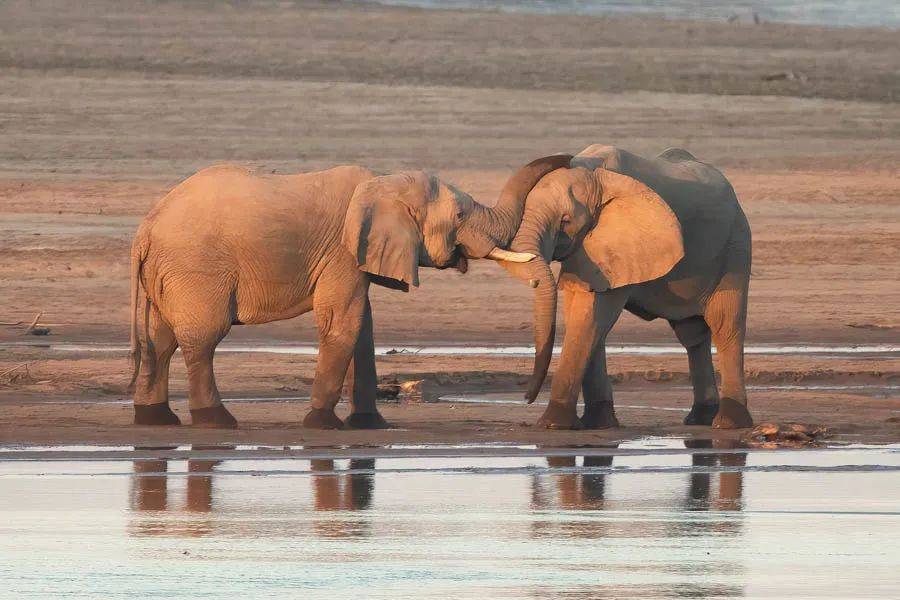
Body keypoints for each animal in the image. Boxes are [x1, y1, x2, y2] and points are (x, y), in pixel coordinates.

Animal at [129, 157, 568, 428]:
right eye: (460, 215)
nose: (527, 400)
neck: (386, 182)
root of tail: (145, 229)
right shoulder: (341, 251)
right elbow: (343, 322)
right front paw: (323, 425)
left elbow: (363, 327)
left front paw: (370, 425)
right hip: (197, 269)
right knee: (202, 340)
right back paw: (217, 421)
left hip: (169, 273)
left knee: (160, 340)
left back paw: (156, 419)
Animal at [492, 145, 752, 428]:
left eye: (565, 221)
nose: (526, 398)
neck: (594, 174)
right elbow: (586, 316)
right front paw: (598, 423)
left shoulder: (619, 245)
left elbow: (590, 317)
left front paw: (552, 425)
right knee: (692, 333)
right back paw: (699, 418)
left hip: (735, 247)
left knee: (724, 325)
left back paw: (729, 423)